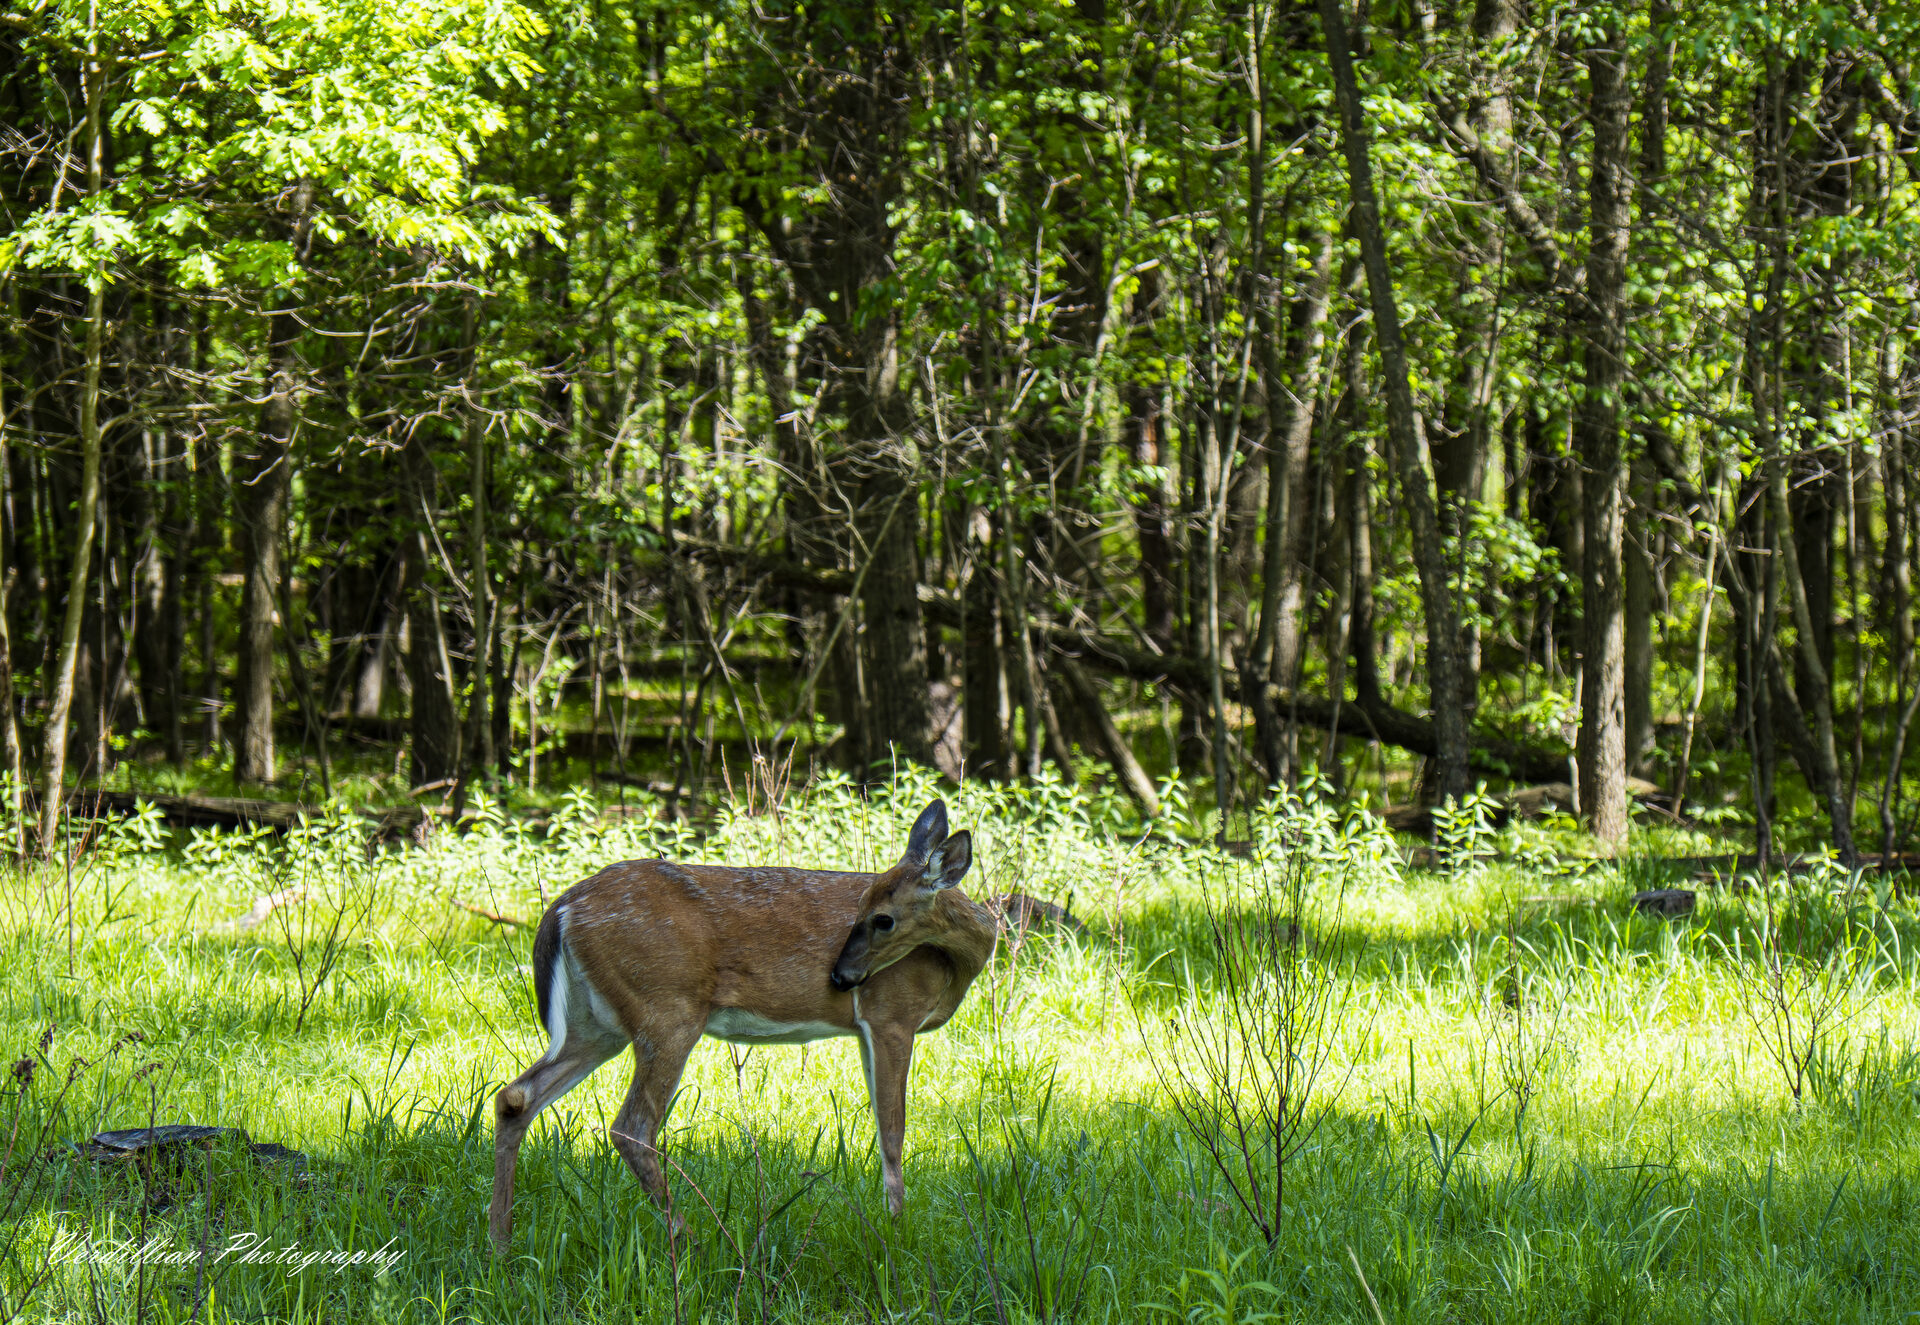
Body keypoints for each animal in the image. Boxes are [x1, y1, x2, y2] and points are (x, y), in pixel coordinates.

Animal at [488, 799, 996, 1254]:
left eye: (881, 917)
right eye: (865, 913)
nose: (841, 977)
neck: (955, 965)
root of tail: (561, 910)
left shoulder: (866, 1029)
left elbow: (881, 1124)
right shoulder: (891, 1014)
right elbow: (893, 1132)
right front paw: (896, 1232)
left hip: (595, 1027)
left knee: (516, 1097)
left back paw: (500, 1243)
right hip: (668, 1009)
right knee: (631, 1127)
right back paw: (697, 1240)